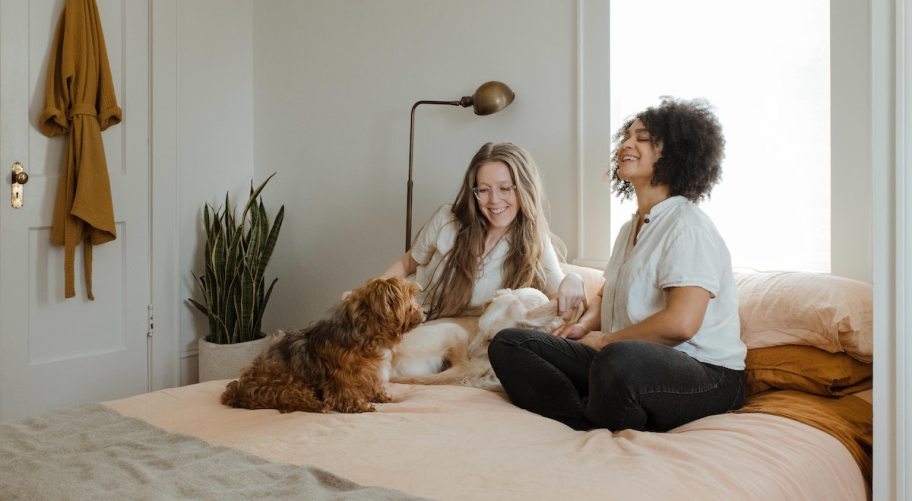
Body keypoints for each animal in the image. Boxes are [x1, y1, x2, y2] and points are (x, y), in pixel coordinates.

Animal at [221, 276, 424, 412]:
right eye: (409, 299)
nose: (424, 312)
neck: (367, 337)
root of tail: (238, 391)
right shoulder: (340, 374)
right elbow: (346, 390)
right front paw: (359, 404)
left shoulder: (370, 372)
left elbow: (373, 385)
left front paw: (382, 396)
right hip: (285, 380)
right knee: (290, 397)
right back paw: (318, 405)